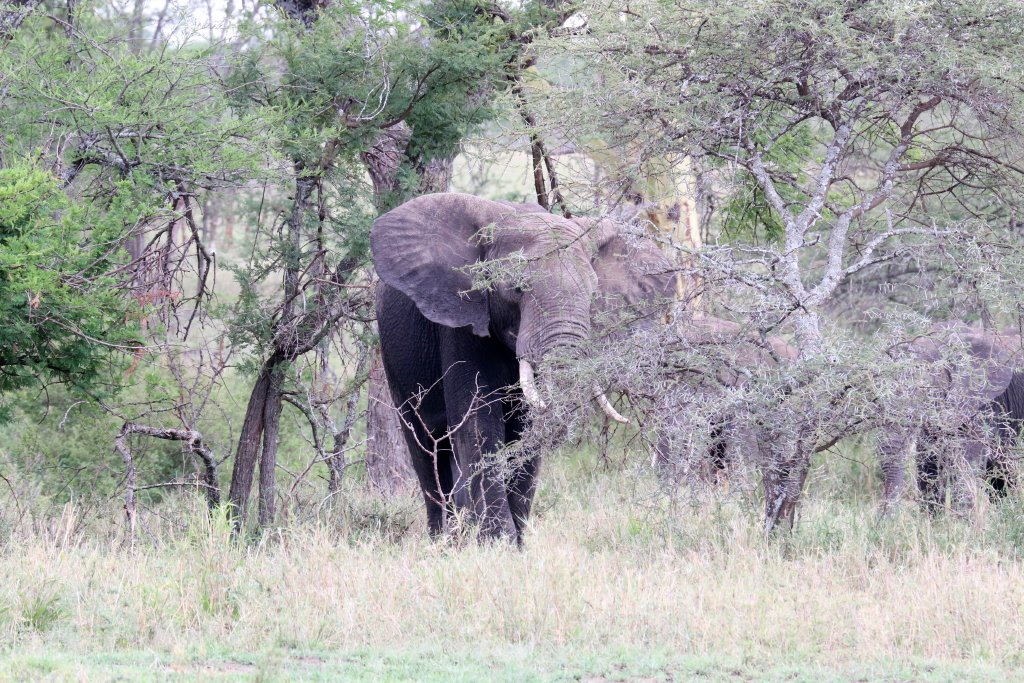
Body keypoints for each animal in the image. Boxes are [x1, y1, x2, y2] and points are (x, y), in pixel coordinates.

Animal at [372, 193, 676, 542]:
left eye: (592, 294)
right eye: (517, 288)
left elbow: (525, 428)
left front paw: (516, 543)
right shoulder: (462, 320)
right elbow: (478, 424)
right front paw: (498, 542)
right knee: (424, 447)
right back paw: (443, 540)